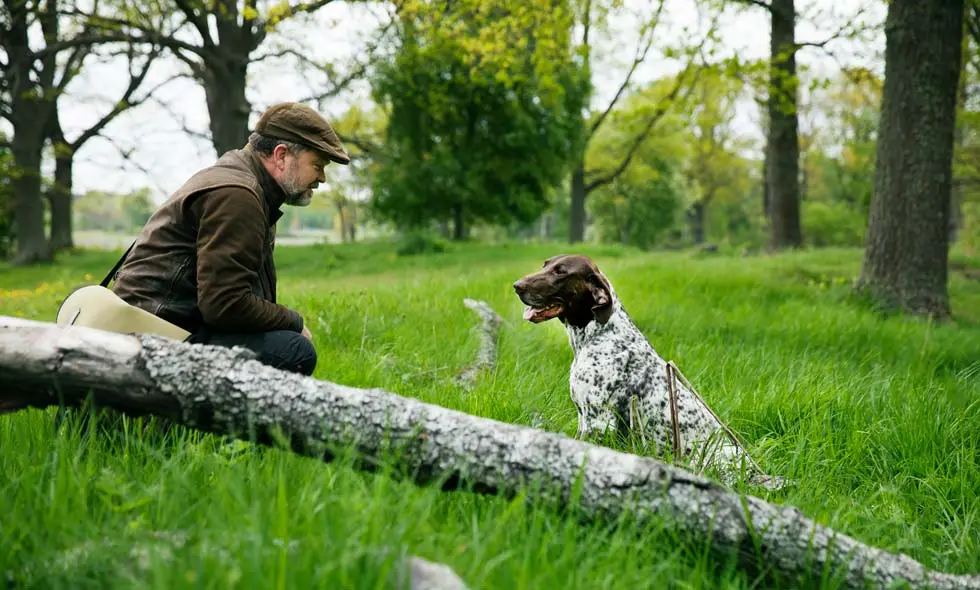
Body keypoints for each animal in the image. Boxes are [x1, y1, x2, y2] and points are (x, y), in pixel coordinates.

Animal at [512, 254, 788, 490]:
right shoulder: (585, 418)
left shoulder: (598, 421)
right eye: (545, 265)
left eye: (560, 272)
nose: (516, 286)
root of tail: (755, 474)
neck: (599, 334)